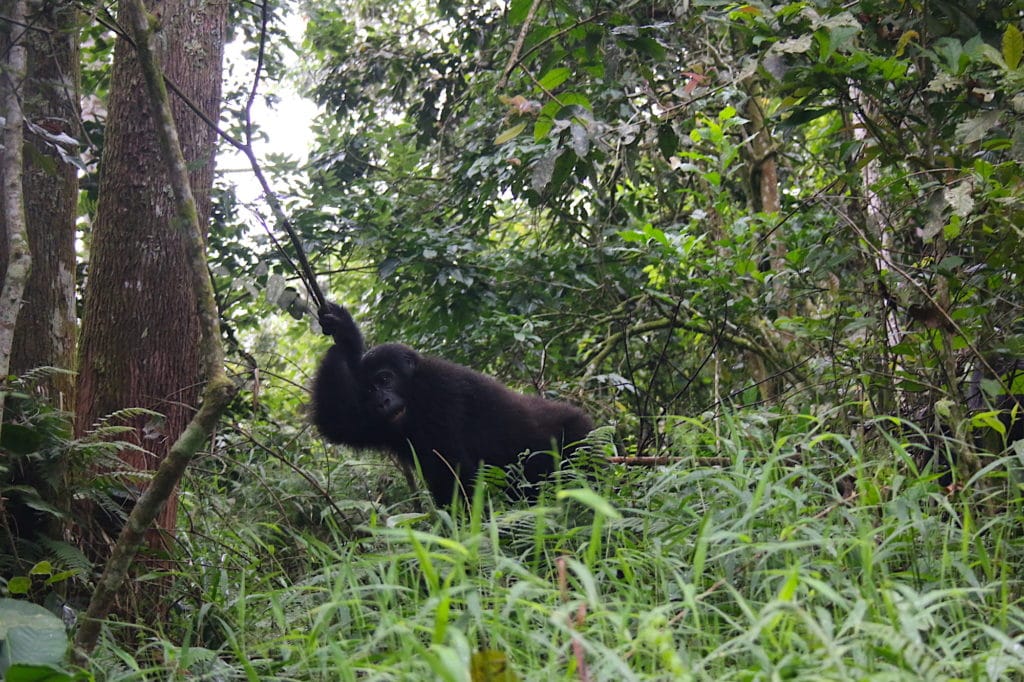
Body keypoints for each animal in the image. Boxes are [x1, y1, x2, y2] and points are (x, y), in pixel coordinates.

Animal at [309, 301, 593, 501]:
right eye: (369, 390)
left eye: (385, 379)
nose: (382, 401)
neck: (414, 388)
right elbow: (342, 423)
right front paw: (345, 337)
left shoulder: (441, 390)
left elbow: (459, 475)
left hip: (578, 436)